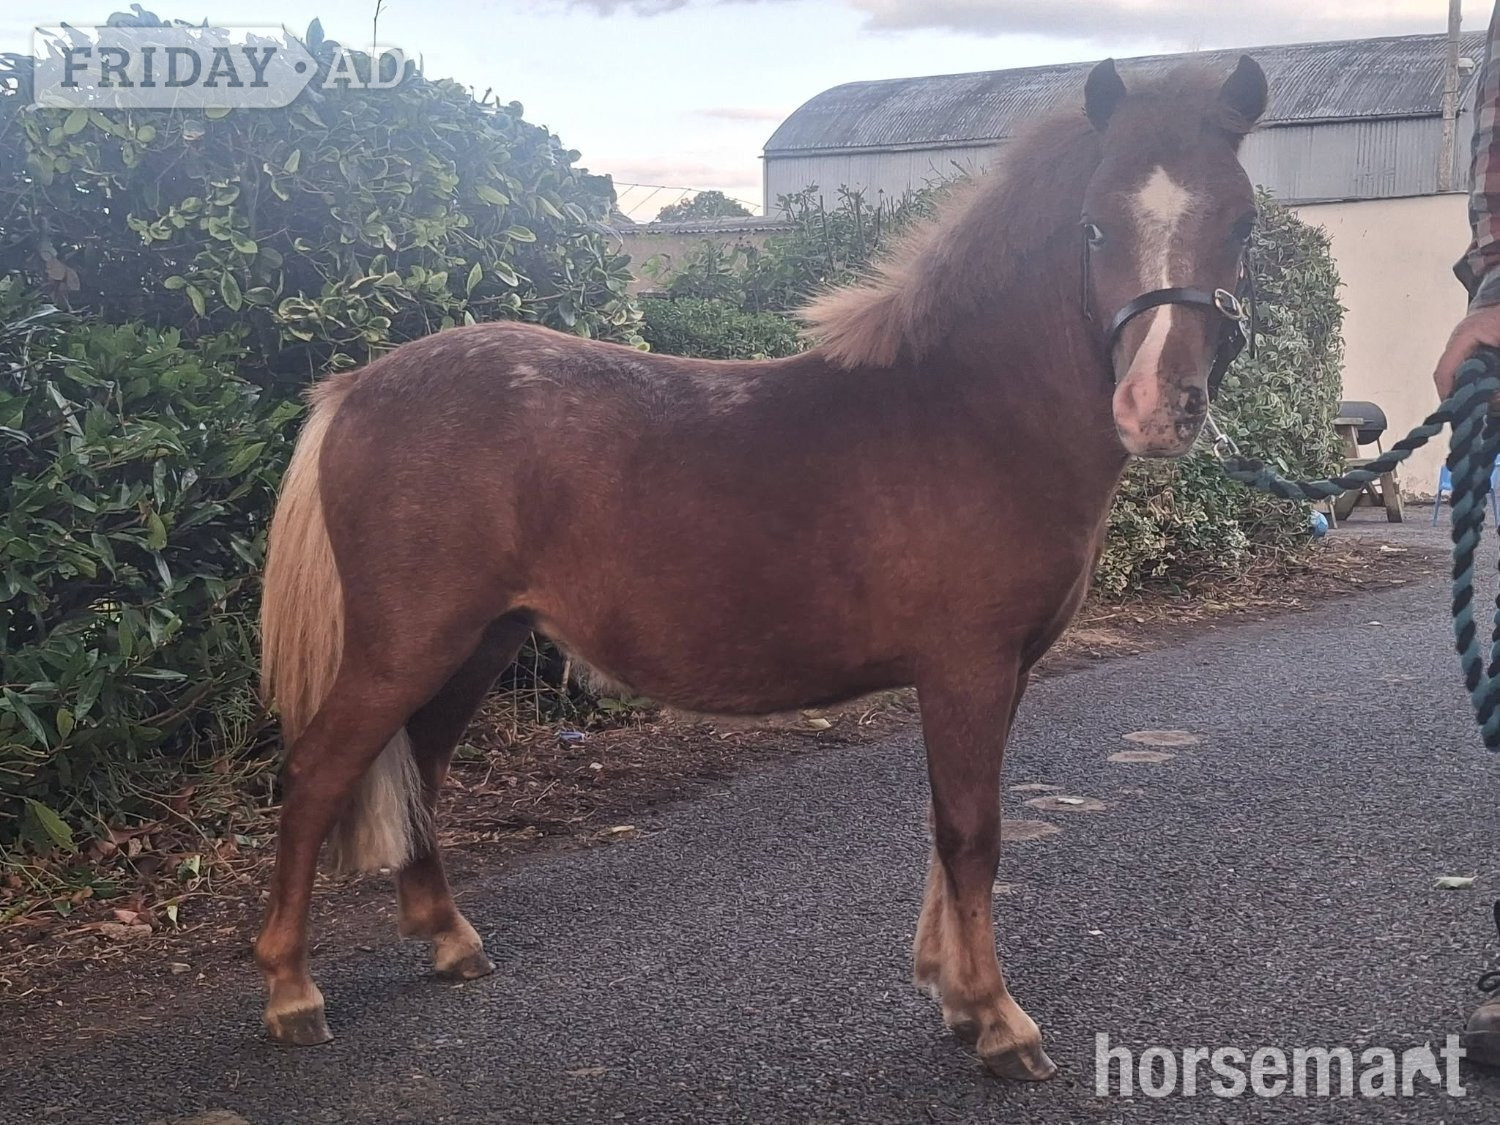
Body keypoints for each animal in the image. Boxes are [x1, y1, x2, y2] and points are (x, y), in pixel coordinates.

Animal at [254, 55, 1269, 1080]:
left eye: (1242, 221)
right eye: (1095, 224)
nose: (1156, 408)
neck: (970, 416)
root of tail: (357, 388)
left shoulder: (1000, 672)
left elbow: (951, 832)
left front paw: (951, 992)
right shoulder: (966, 669)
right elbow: (971, 833)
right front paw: (996, 1018)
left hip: (478, 642)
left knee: (421, 764)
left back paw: (449, 940)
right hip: (406, 643)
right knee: (317, 772)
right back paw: (292, 991)